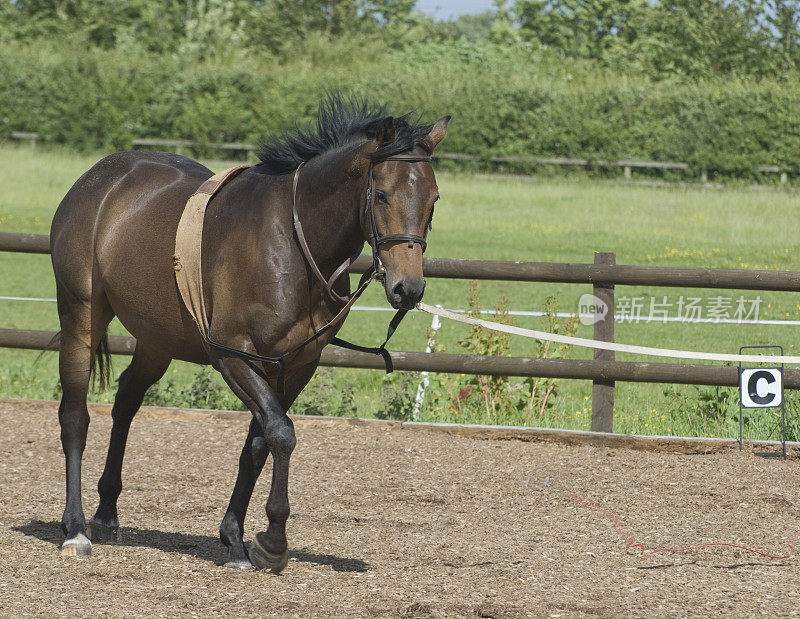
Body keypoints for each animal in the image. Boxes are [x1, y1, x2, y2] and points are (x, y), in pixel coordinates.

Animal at [50, 94, 450, 572]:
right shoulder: (233, 355)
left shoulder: (294, 365)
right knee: (75, 417)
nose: (408, 288)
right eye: (384, 194)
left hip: (158, 339)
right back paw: (75, 529)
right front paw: (272, 541)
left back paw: (107, 513)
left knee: (127, 400)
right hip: (81, 317)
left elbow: (259, 443)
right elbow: (281, 432)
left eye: (433, 198)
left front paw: (236, 541)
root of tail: (98, 179)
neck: (292, 245)